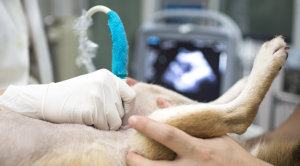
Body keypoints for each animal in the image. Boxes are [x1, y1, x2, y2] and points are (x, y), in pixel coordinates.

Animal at [0, 35, 298, 165]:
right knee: (232, 112)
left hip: (150, 110)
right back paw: (258, 68)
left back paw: (260, 65)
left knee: (233, 111)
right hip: (154, 123)